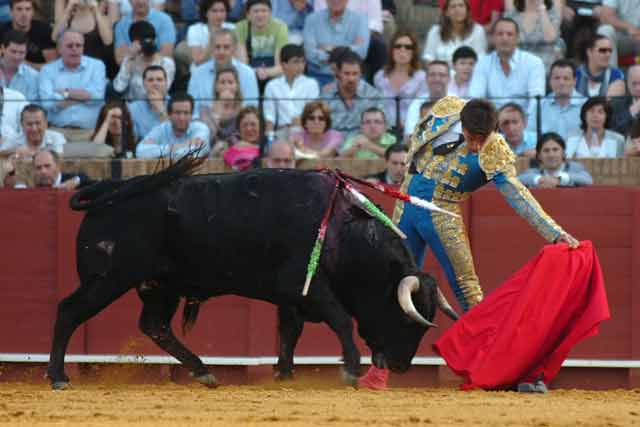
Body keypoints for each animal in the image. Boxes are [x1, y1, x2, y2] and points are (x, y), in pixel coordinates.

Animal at [47, 158, 458, 392]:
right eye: (406, 320)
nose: (402, 366)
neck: (343, 232)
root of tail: (110, 189)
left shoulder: (292, 297)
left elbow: (290, 332)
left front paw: (284, 373)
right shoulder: (306, 287)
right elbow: (340, 319)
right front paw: (352, 369)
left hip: (160, 286)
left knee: (155, 325)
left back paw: (203, 372)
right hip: (108, 279)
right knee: (69, 311)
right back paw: (58, 377)